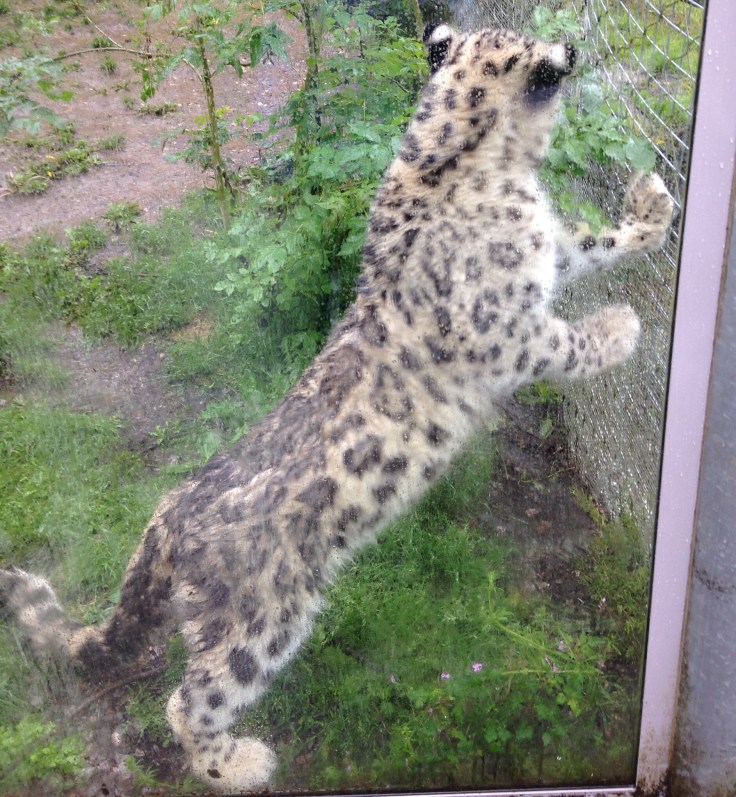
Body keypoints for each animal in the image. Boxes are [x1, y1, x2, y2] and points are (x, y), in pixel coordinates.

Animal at [0, 23, 673, 794]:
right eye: (538, 51)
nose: (572, 47)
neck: (466, 162)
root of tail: (166, 516)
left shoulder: (550, 255)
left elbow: (593, 241)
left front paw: (653, 203)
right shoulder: (500, 331)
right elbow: (562, 341)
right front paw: (621, 327)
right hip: (262, 617)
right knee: (191, 696)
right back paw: (240, 763)